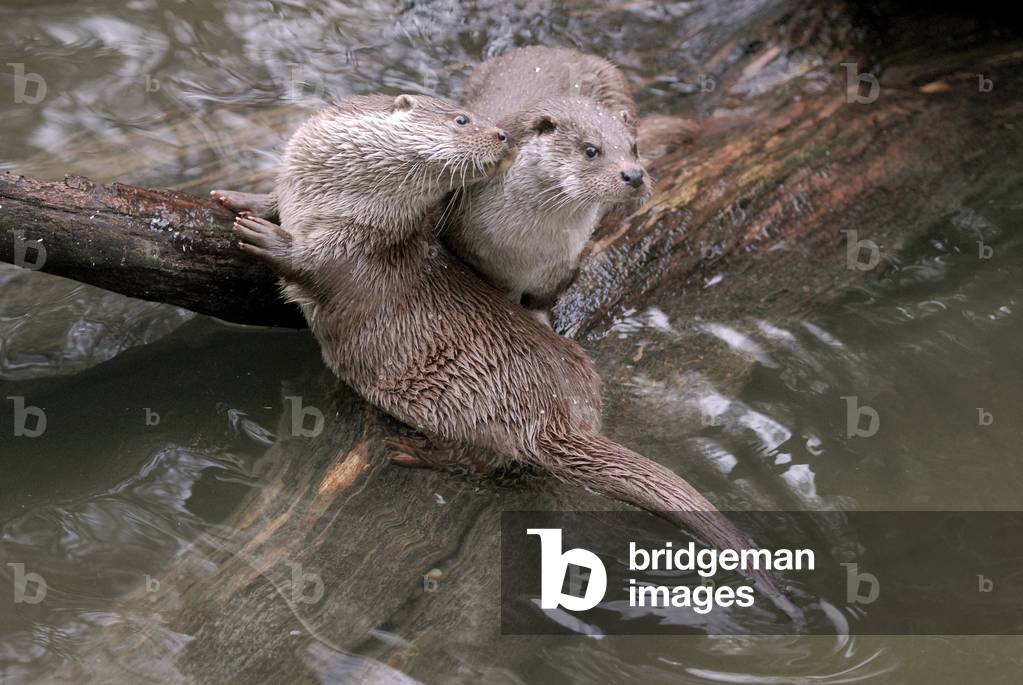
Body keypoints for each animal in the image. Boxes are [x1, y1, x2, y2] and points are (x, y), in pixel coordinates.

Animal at [231, 93, 796, 616]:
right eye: (463, 118)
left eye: (482, 121)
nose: (503, 136)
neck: (329, 201)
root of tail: (558, 417)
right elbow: (273, 196)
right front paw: (240, 199)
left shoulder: (354, 249)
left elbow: (315, 267)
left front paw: (268, 238)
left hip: (461, 402)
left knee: (480, 461)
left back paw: (415, 451)